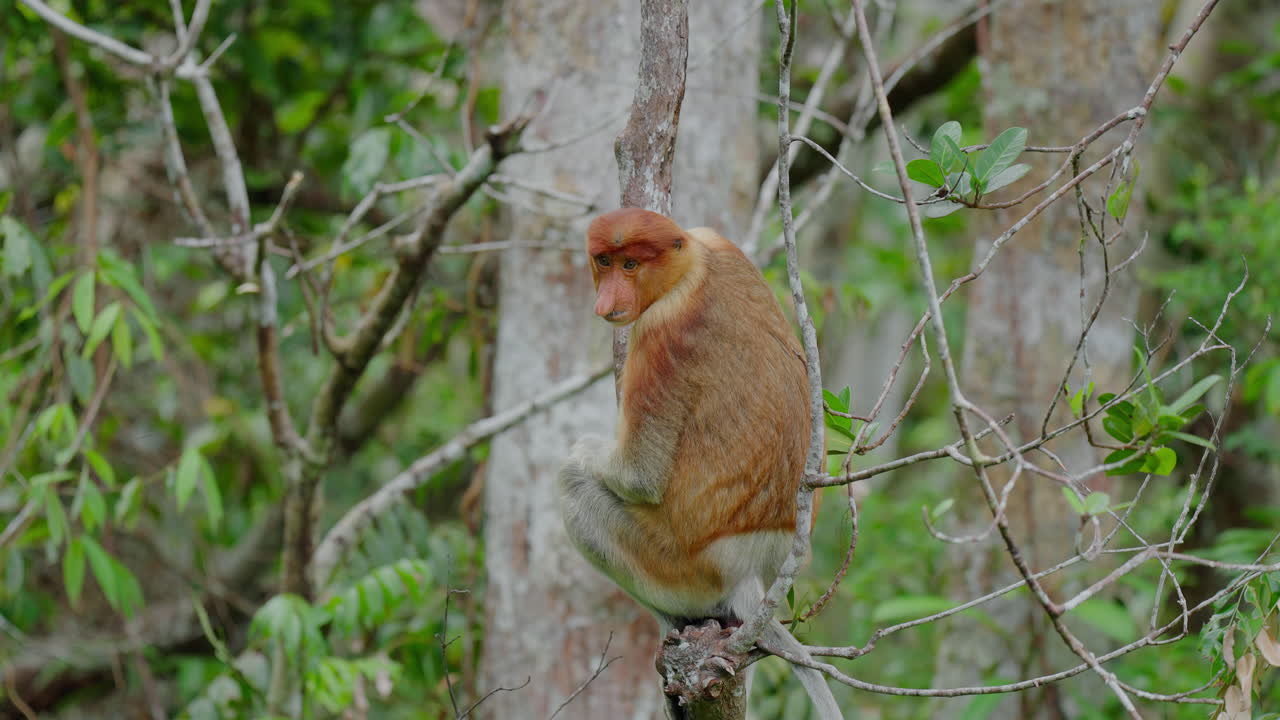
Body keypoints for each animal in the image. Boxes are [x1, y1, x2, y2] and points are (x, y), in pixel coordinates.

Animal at [558, 208, 842, 720]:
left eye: (631, 265)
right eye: (604, 261)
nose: (608, 300)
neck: (691, 267)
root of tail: (751, 568)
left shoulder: (659, 331)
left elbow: (639, 475)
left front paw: (582, 448)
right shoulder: (718, 241)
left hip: (682, 566)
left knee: (574, 489)